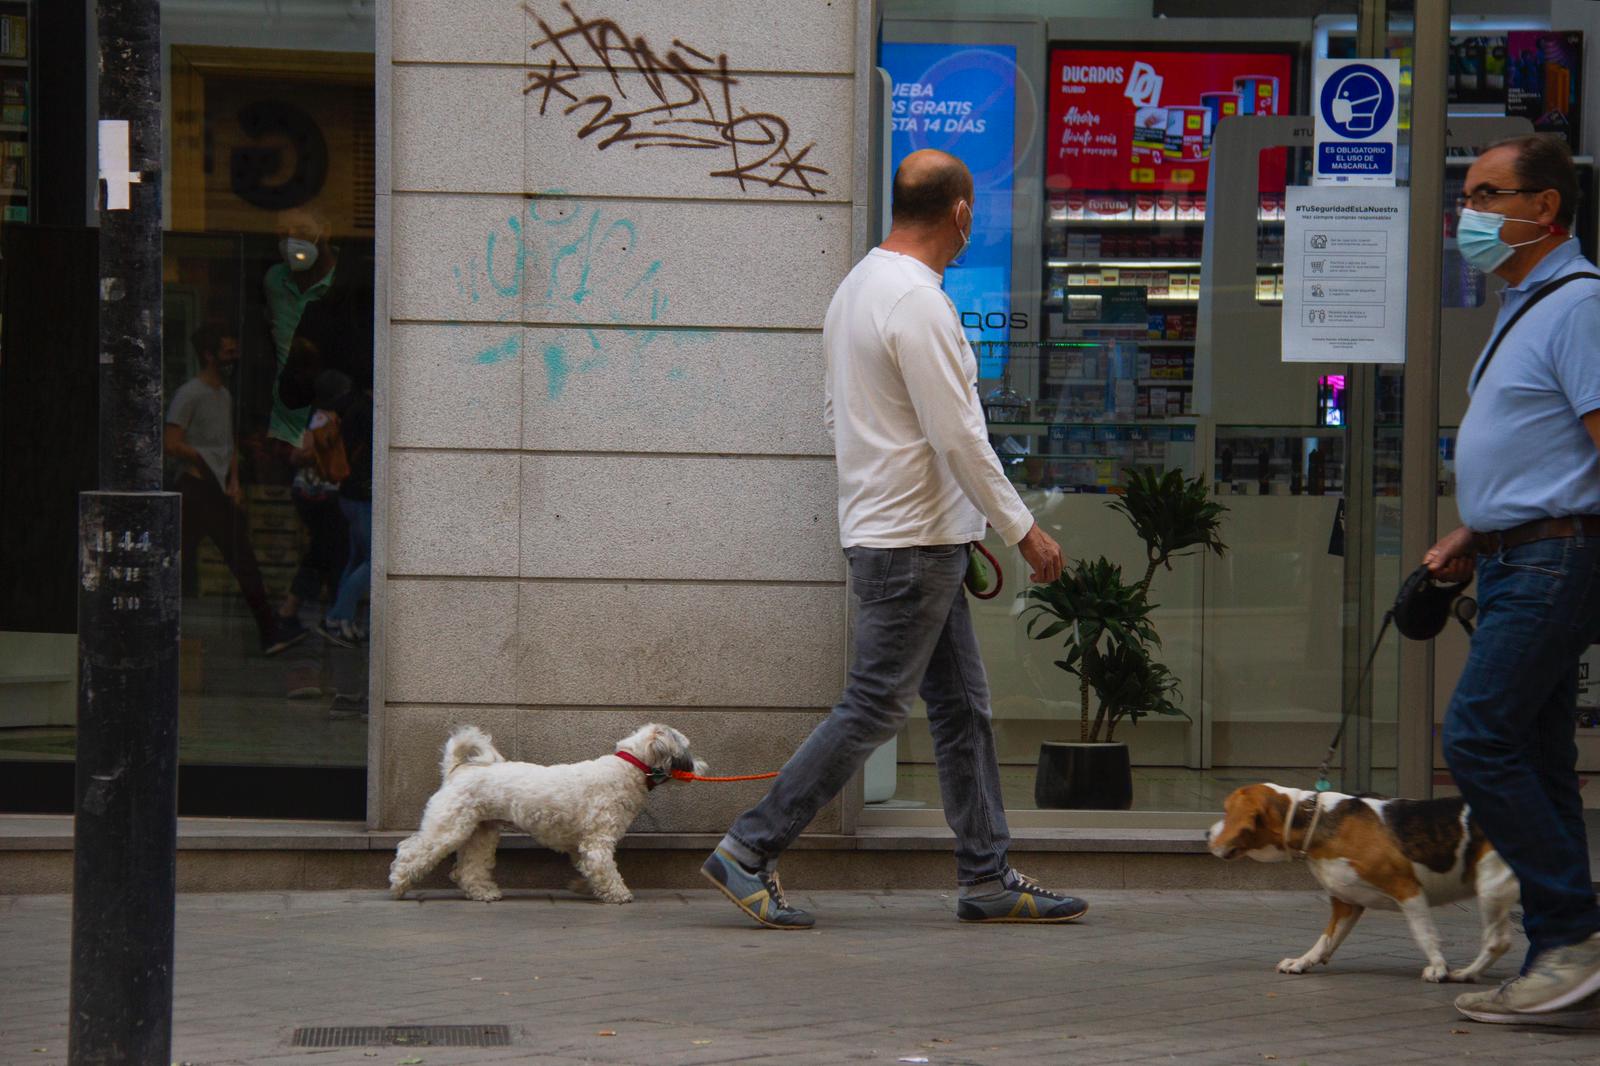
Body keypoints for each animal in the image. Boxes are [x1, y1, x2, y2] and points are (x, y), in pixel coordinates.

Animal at [385, 717, 700, 902]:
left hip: (480, 833)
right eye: (686, 747)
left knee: (468, 869)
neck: (627, 769)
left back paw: (484, 892)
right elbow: (605, 868)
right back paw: (399, 885)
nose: (700, 765)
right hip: (448, 828)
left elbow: (589, 868)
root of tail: (457, 769)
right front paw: (618, 894)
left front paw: (583, 886)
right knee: (411, 851)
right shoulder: (598, 840)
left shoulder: (582, 845)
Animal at [1209, 781, 1510, 979]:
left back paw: (1466, 974)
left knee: (1499, 941)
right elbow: (1326, 939)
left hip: (1491, 886)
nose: (1206, 833)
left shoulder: (1407, 889)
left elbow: (1424, 933)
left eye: (1226, 812)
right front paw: (1303, 962)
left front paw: (1437, 967)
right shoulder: (1346, 902)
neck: (1312, 821)